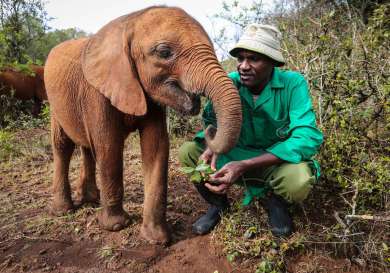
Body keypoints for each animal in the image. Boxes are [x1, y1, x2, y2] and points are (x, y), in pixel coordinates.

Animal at [44, 5, 242, 243]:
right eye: (164, 52)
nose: (210, 129)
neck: (130, 20)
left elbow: (156, 146)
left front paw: (156, 238)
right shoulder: (96, 91)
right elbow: (109, 147)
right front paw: (116, 226)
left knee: (86, 146)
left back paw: (91, 200)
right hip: (54, 103)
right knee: (63, 145)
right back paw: (63, 210)